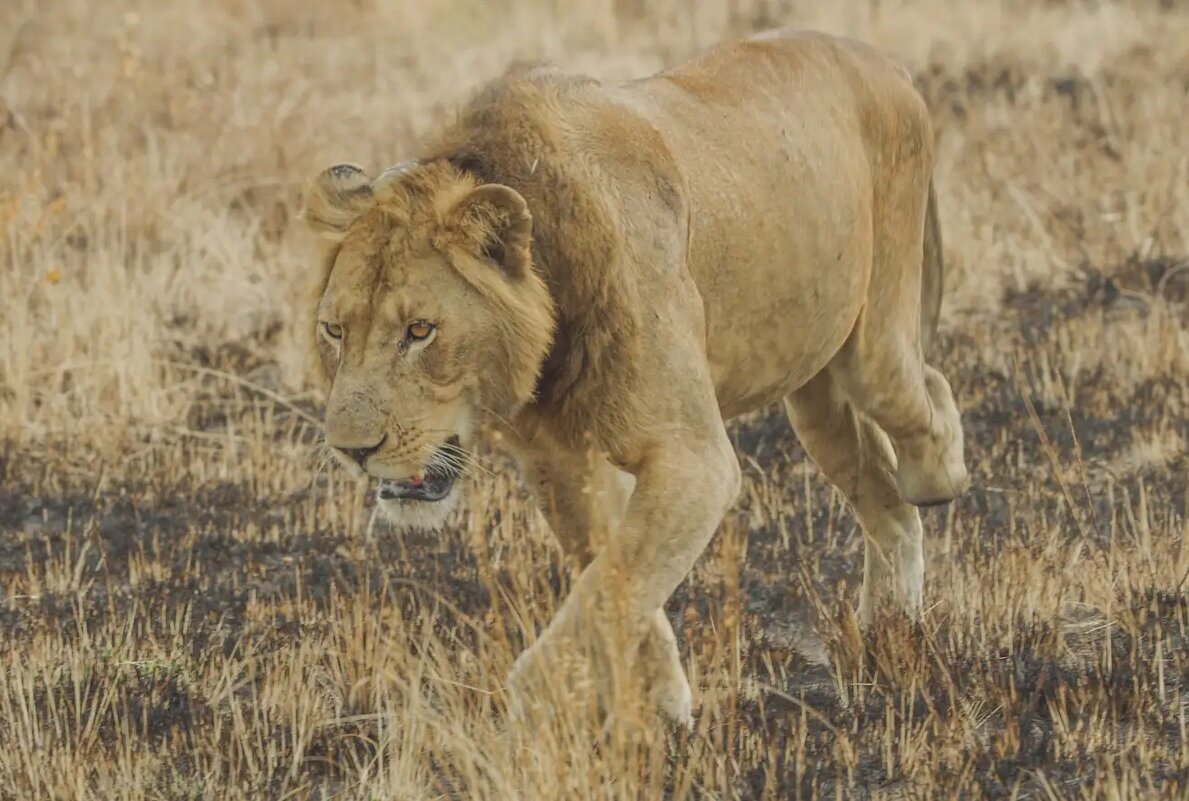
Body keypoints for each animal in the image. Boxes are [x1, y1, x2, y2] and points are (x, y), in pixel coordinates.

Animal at [302, 29, 970, 722]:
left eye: (419, 331)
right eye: (334, 331)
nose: (352, 451)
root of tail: (878, 56)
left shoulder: (693, 459)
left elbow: (609, 590)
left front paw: (535, 705)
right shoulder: (561, 465)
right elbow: (616, 578)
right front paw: (666, 703)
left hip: (875, 346)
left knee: (926, 398)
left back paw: (940, 484)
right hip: (812, 391)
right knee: (887, 504)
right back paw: (890, 633)